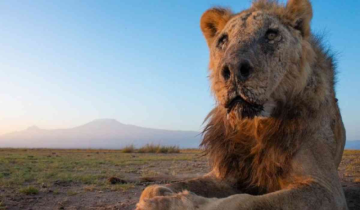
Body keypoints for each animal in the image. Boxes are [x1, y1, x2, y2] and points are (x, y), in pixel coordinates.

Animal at [136, 0, 348, 210]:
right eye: (223, 40)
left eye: (271, 34)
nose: (233, 69)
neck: (254, 126)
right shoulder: (226, 174)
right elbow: (154, 188)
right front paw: (160, 196)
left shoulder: (326, 188)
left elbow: (241, 201)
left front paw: (169, 203)